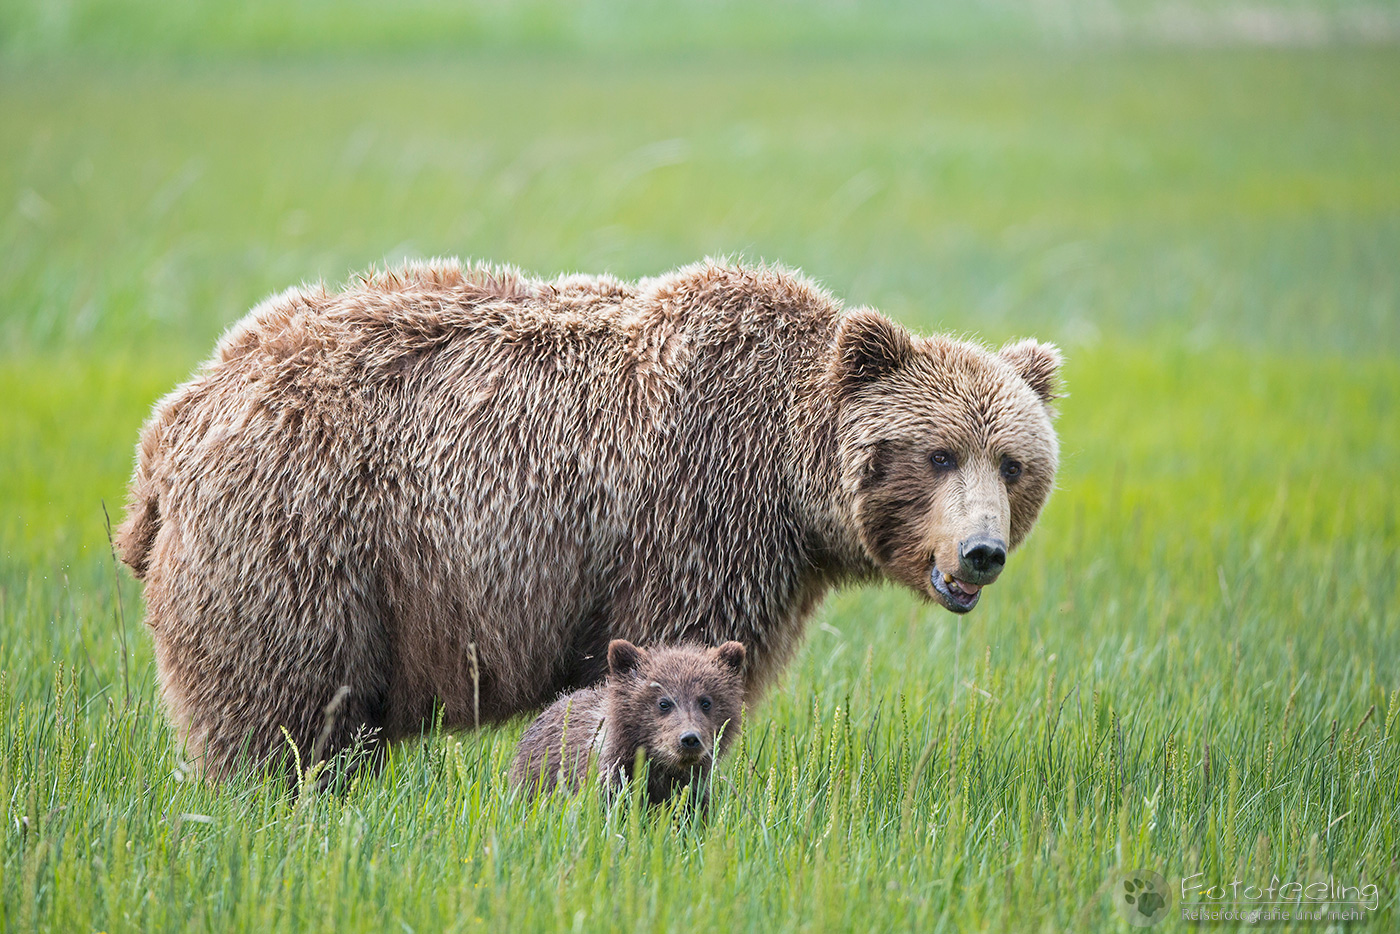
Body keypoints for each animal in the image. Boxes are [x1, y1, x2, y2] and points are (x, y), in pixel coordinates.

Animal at [115, 258, 1060, 779]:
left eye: (1013, 462)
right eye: (939, 454)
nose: (980, 552)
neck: (789, 483)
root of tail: (173, 419)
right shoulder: (696, 515)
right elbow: (679, 647)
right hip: (309, 539)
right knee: (286, 709)